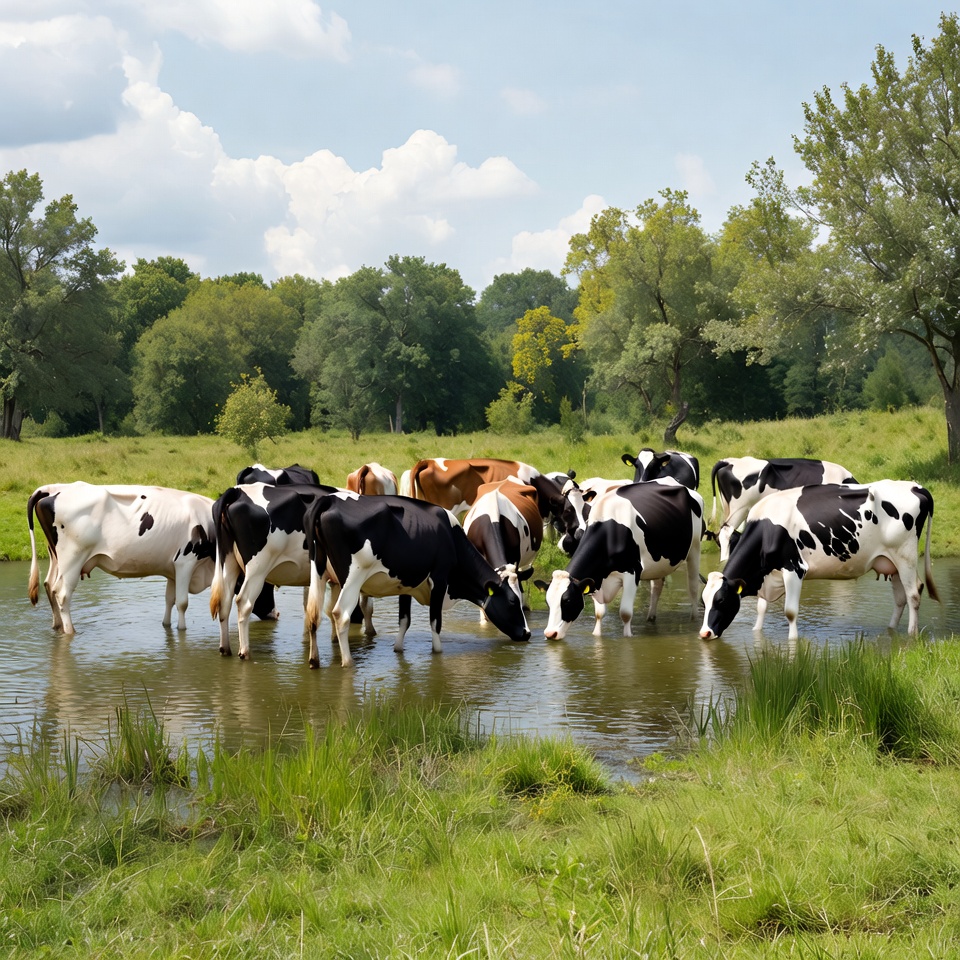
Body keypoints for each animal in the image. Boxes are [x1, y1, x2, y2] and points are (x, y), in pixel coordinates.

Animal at [27, 482, 216, 635]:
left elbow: (169, 600)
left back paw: (57, 626)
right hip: (72, 558)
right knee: (62, 594)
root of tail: (58, 489)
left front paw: (167, 625)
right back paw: (69, 631)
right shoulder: (186, 562)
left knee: (49, 584)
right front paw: (182, 630)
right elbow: (182, 603)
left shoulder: (172, 570)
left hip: (55, 557)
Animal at [209, 481, 345, 660]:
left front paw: (334, 640)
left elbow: (320, 606)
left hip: (229, 562)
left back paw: (225, 648)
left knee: (225, 601)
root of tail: (237, 491)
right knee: (243, 602)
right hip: (257, 567)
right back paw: (244, 651)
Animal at [304, 493, 531, 667]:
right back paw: (348, 662)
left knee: (313, 614)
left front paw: (398, 649)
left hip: (317, 568)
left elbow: (404, 620)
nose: (527, 633)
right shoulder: (439, 578)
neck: (451, 537)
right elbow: (435, 622)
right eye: (512, 601)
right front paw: (437, 654)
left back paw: (314, 661)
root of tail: (330, 499)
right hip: (353, 576)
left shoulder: (406, 584)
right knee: (340, 614)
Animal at [540, 479, 704, 640]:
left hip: (695, 548)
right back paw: (651, 618)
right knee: (657, 587)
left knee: (693, 587)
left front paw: (627, 638)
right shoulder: (596, 579)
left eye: (568, 601)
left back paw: (693, 620)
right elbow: (599, 614)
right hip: (658, 561)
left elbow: (625, 613)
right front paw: (597, 637)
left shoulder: (632, 573)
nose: (550, 634)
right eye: (547, 602)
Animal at [699, 480, 939, 642]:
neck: (768, 528)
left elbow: (790, 612)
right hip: (891, 562)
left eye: (721, 601)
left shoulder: (794, 569)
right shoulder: (768, 574)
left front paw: (793, 642)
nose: (704, 633)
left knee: (913, 594)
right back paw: (891, 630)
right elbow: (761, 608)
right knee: (900, 598)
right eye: (704, 602)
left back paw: (912, 635)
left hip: (905, 555)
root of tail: (916, 486)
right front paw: (756, 633)